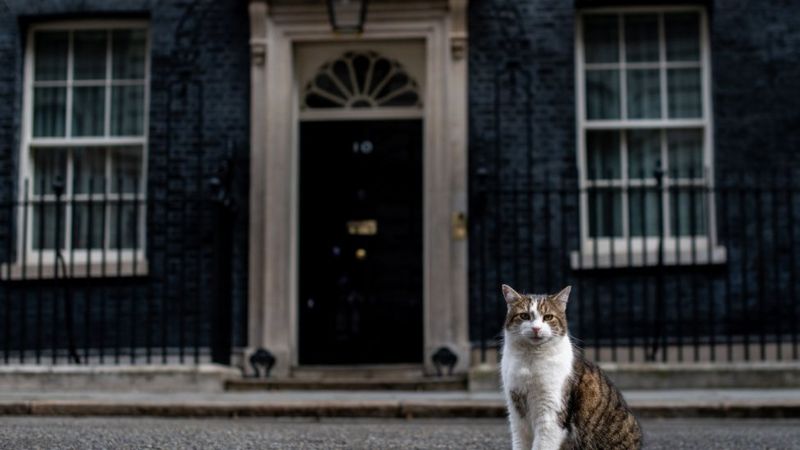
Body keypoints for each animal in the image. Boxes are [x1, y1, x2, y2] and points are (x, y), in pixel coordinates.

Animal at [504, 284, 640, 450]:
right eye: (524, 316)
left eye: (548, 317)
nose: (536, 328)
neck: (530, 359)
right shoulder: (516, 411)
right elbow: (520, 441)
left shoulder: (551, 413)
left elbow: (542, 443)